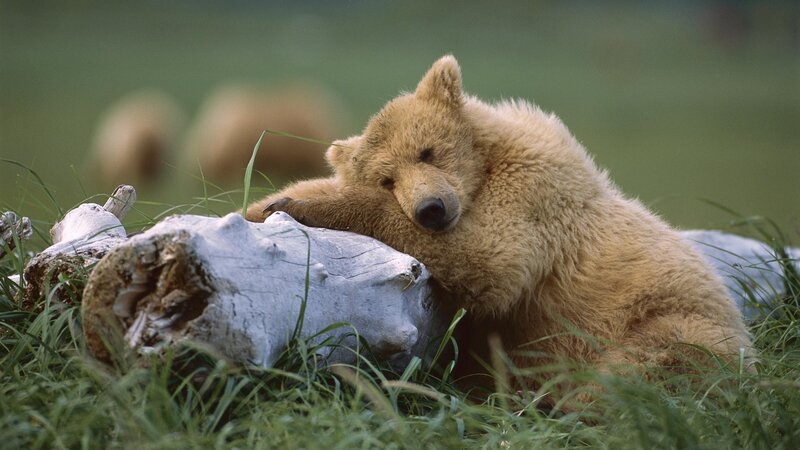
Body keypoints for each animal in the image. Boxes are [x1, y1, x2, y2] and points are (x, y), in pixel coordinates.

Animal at [246, 55, 752, 393]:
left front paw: (303, 205)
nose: (430, 209)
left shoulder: (534, 195)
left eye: (427, 151)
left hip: (673, 320)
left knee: (645, 367)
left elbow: (489, 259)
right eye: (387, 178)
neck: (486, 166)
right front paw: (268, 203)